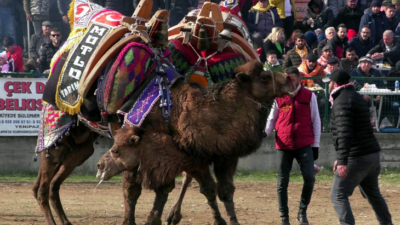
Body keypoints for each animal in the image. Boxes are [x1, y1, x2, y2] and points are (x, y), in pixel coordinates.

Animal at [95, 60, 292, 224]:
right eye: (265, 77)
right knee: (132, 188)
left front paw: (231, 221)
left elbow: (223, 190)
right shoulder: (188, 158)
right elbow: (206, 189)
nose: (289, 78)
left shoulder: (221, 156)